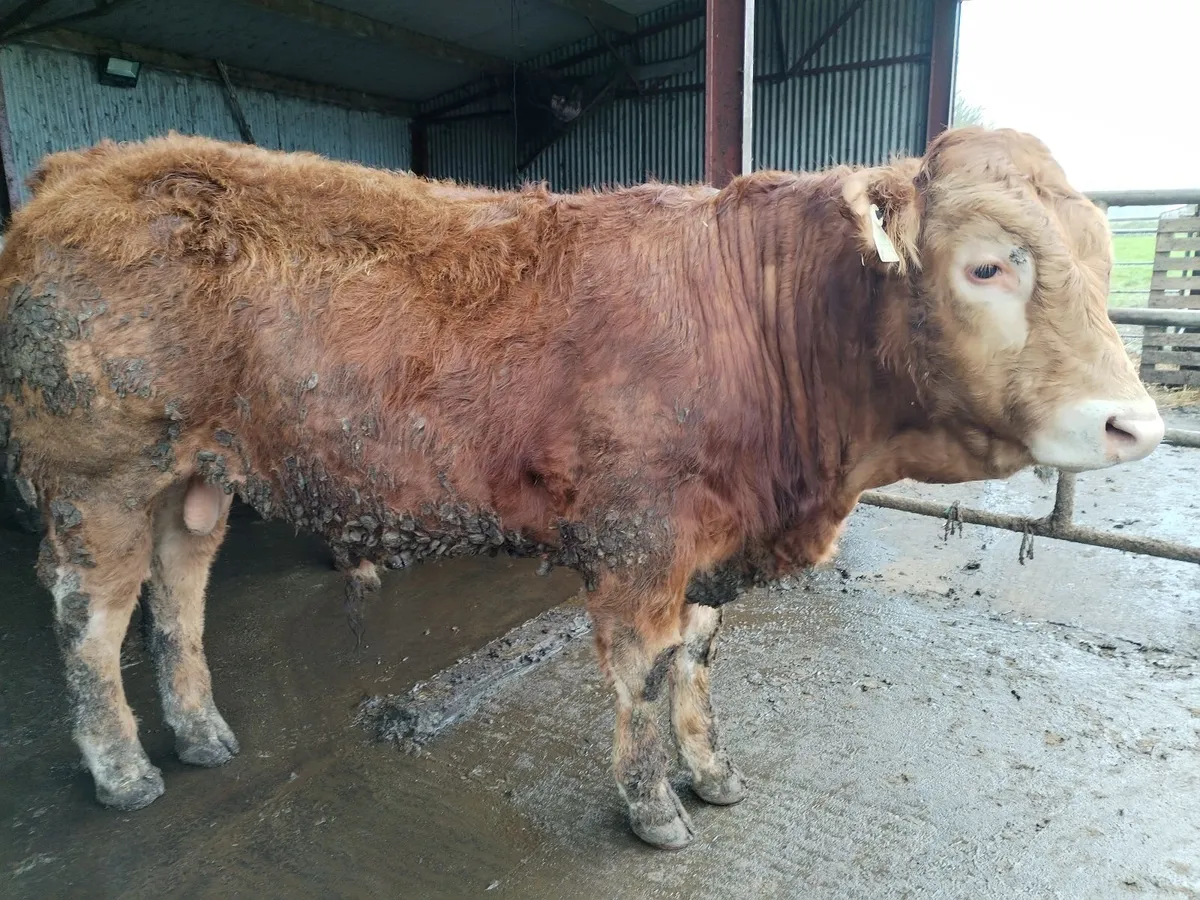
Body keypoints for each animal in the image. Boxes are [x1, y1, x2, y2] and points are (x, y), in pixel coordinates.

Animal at [0, 127, 1163, 850]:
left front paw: (711, 772)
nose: (1137, 424)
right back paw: (122, 771)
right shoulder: (638, 540)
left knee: (178, 589)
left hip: (194, 475)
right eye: (987, 265)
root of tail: (83, 167)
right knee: (90, 614)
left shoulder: (707, 543)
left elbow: (698, 660)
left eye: (1106, 259)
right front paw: (651, 809)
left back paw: (200, 732)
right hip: (99, 473)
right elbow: (643, 677)